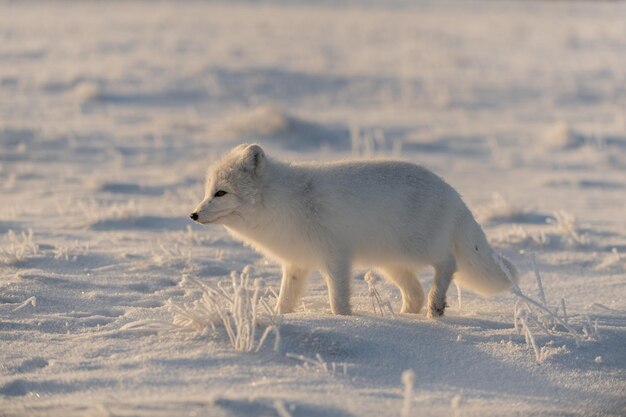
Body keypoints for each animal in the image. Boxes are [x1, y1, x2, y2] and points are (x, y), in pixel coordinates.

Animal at [190, 145, 516, 316]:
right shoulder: (297, 262)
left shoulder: (336, 258)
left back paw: (436, 305)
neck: (281, 201)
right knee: (415, 293)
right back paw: (405, 318)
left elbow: (338, 300)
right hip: (390, 263)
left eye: (221, 193)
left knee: (448, 264)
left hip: (419, 249)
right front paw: (280, 317)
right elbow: (286, 299)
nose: (193, 215)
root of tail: (451, 192)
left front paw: (344, 321)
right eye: (207, 192)